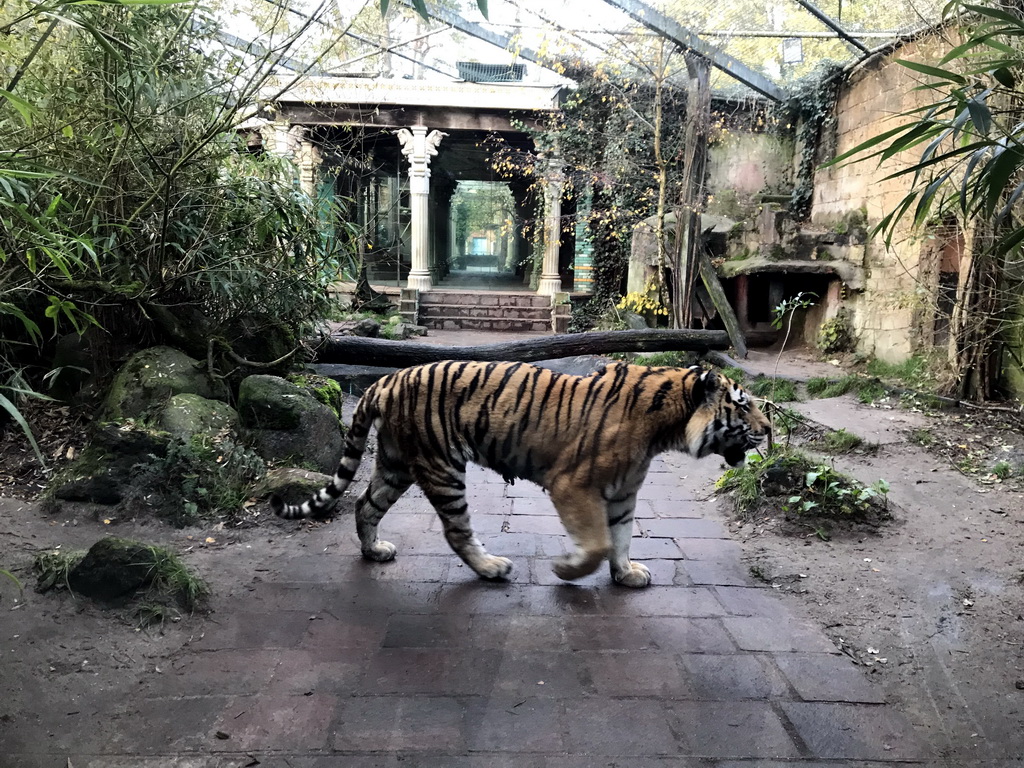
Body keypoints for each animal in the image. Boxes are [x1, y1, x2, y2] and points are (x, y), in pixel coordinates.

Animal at [272, 360, 770, 589]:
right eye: (743, 404)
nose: (769, 430)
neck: (666, 427)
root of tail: (385, 380)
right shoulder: (573, 485)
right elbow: (597, 543)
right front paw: (567, 570)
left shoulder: (624, 493)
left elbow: (621, 538)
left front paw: (626, 574)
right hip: (442, 466)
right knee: (456, 530)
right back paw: (491, 567)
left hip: (396, 464)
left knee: (364, 503)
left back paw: (374, 551)